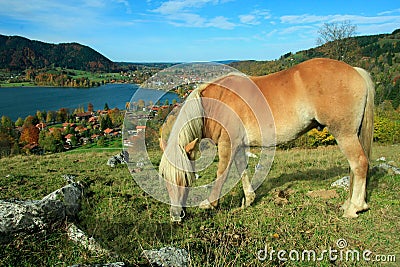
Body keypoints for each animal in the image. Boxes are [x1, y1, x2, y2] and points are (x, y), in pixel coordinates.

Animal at [159, 58, 376, 222]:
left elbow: (222, 172)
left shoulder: (227, 144)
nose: (176, 216)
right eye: (165, 179)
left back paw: (354, 208)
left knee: (359, 163)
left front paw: (210, 203)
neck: (214, 103)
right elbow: (242, 170)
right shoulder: (239, 145)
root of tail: (355, 71)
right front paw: (248, 200)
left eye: (185, 179)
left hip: (344, 134)